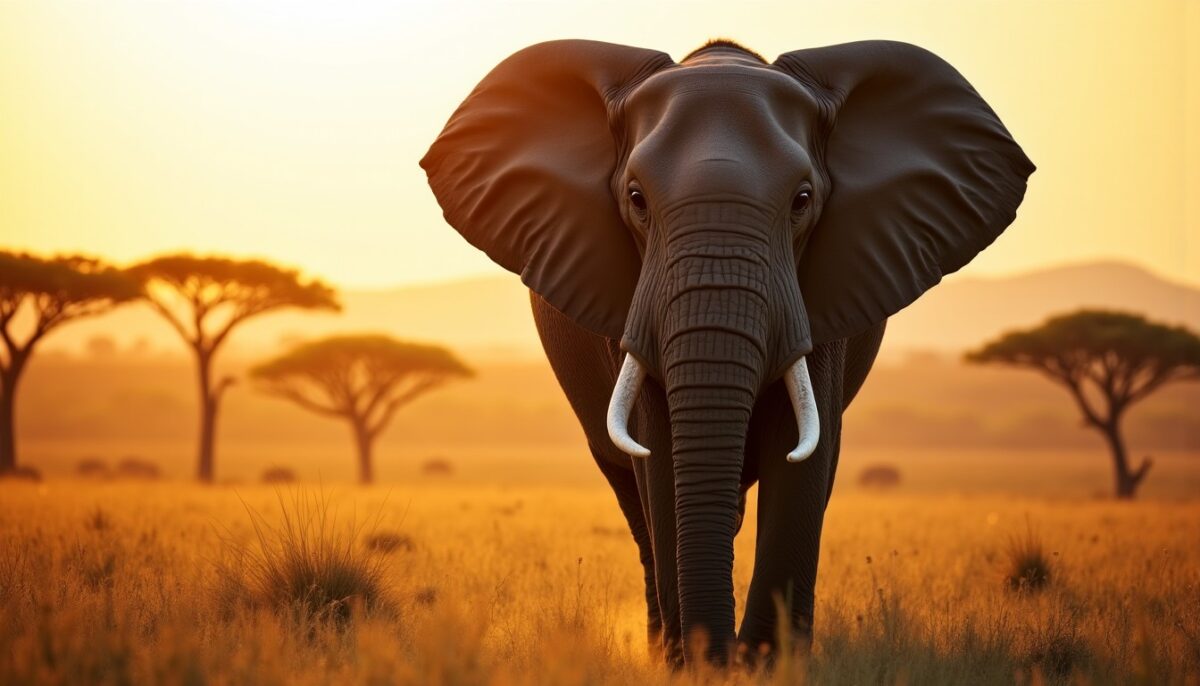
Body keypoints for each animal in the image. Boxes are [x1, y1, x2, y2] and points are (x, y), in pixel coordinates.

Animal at [421, 38, 1033, 667]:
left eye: (803, 200)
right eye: (636, 199)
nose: (717, 659)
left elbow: (802, 457)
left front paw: (768, 667)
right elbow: (660, 454)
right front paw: (694, 666)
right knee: (632, 496)